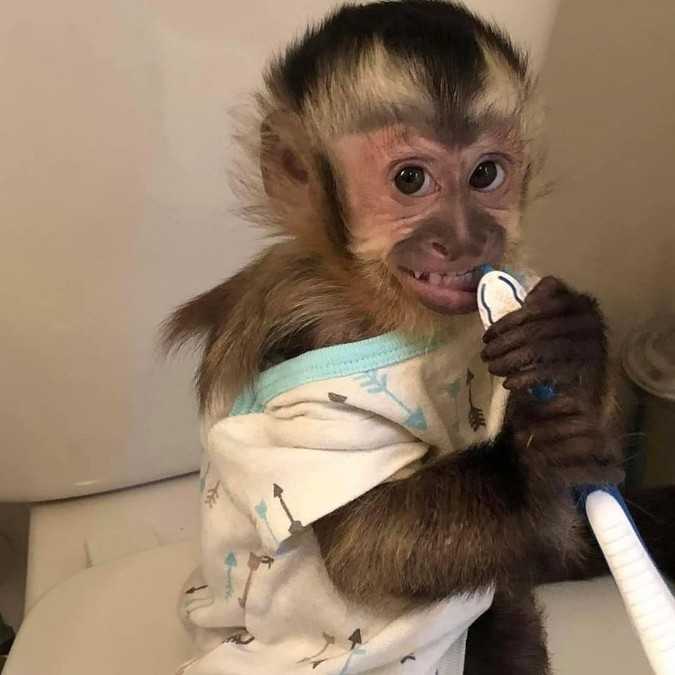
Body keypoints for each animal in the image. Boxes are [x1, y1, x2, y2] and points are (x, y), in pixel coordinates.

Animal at [164, 2, 675, 674]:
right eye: (411, 180)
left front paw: (572, 347)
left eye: (486, 174)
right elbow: (364, 545)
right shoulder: (301, 340)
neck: (381, 305)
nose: (466, 238)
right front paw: (532, 461)